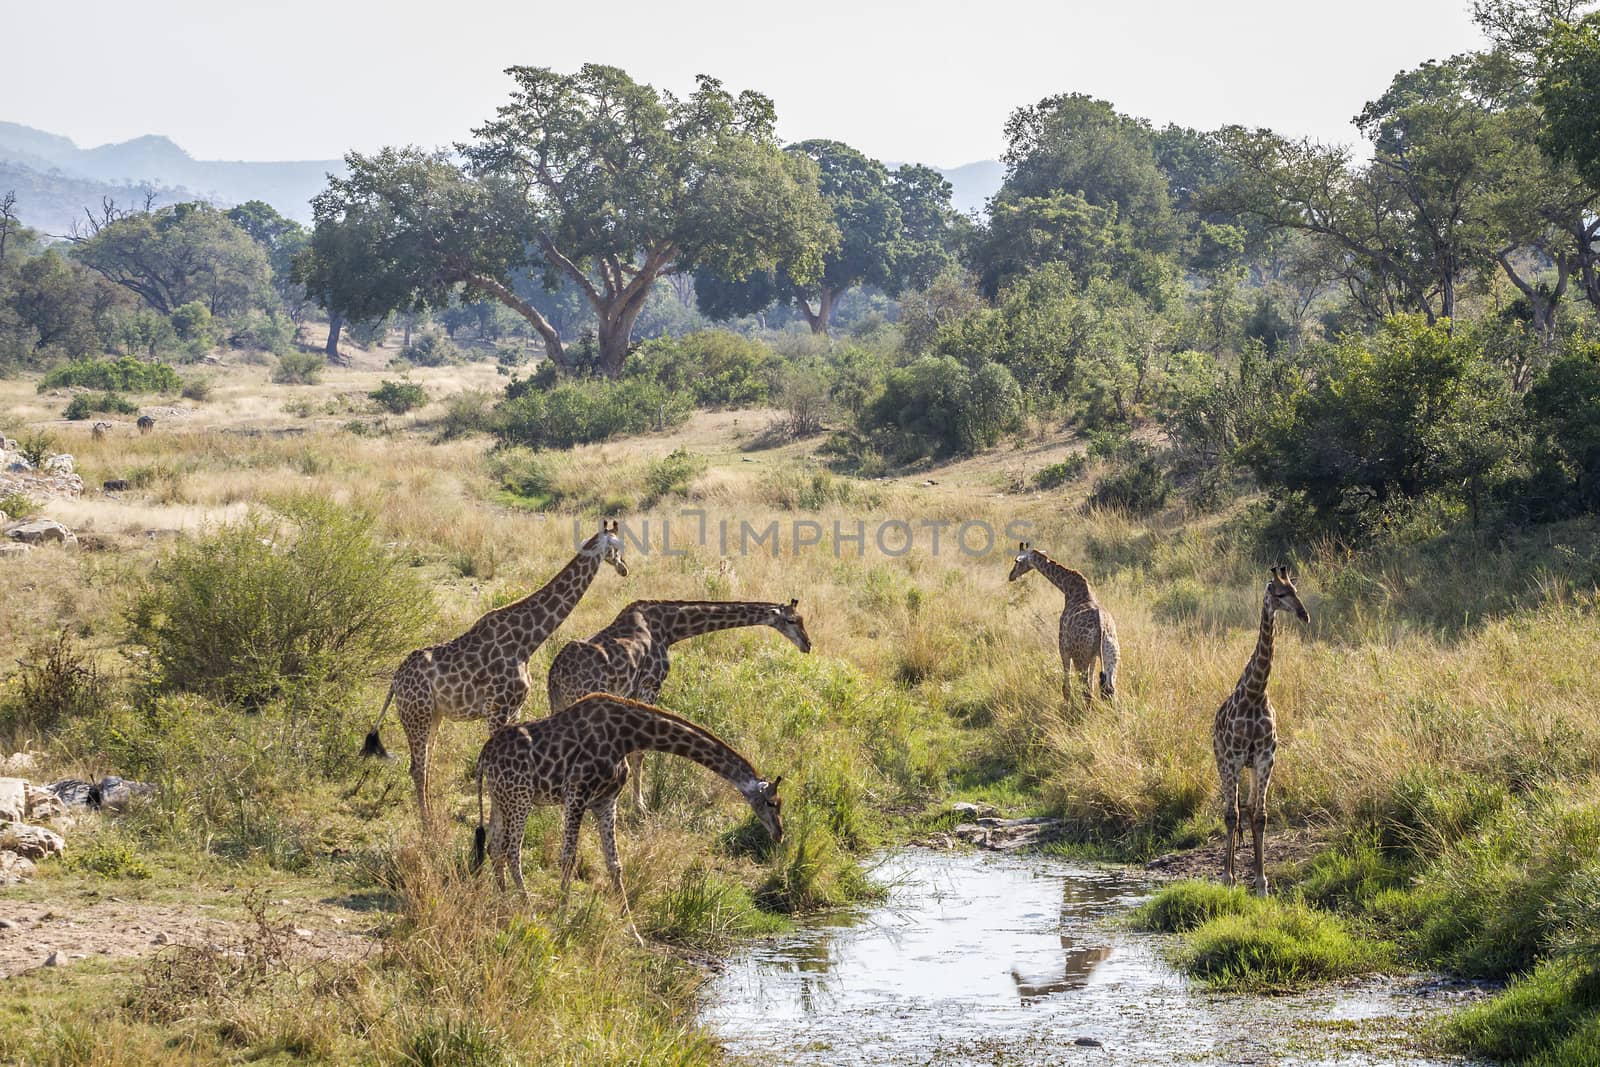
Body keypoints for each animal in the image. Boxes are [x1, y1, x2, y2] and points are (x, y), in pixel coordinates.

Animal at [363, 521, 630, 825]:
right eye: (616, 546)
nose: (624, 569)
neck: (528, 641)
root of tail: (395, 681)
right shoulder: (497, 709)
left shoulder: (513, 710)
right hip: (417, 714)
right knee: (417, 768)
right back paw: (428, 825)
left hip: (432, 716)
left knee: (425, 765)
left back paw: (430, 817)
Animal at [547, 601, 812, 809]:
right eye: (791, 620)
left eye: (802, 619)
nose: (807, 645)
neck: (670, 627)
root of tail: (555, 674)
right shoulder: (650, 685)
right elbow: (640, 751)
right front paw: (639, 804)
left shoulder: (632, 691)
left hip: (558, 704)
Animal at [1004, 543, 1120, 710]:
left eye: (1016, 561)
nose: (1011, 576)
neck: (1068, 589)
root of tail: (1101, 626)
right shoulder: (1092, 656)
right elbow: (1091, 683)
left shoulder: (1063, 648)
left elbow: (1067, 685)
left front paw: (1067, 704)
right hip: (1111, 655)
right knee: (1110, 689)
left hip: (1080, 657)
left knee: (1086, 690)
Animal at [1209, 563, 1312, 895]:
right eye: (1278, 594)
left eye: (1295, 590)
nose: (1304, 615)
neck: (1256, 693)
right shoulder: (1234, 757)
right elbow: (1232, 815)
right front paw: (1227, 878)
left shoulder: (1266, 757)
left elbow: (1261, 816)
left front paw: (1261, 882)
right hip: (1222, 761)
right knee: (1232, 810)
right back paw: (1228, 875)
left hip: (1251, 767)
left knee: (1251, 808)